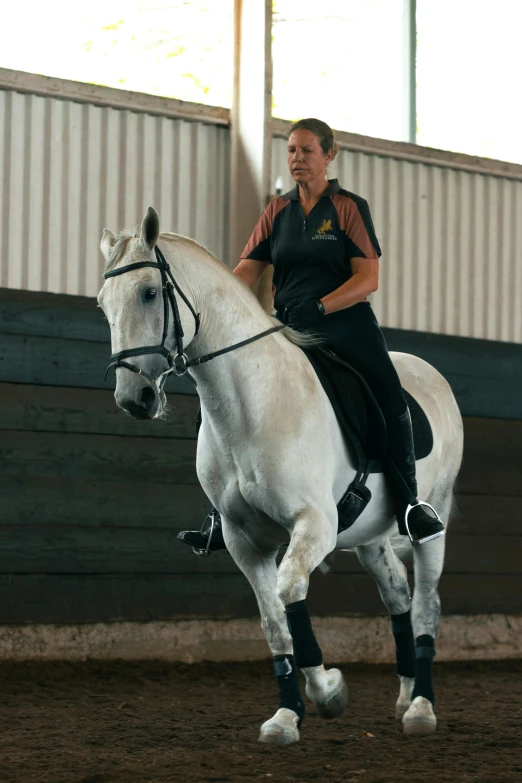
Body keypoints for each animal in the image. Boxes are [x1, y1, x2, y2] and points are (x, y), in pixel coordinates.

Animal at [98, 208, 464, 748]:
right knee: (397, 592)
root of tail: (430, 374)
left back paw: (421, 707)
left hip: (430, 521)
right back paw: (402, 695)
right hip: (371, 535)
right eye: (103, 305)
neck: (250, 404)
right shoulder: (243, 539)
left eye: (147, 293)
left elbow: (291, 592)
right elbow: (274, 621)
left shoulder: (313, 525)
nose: (134, 398)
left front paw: (329, 692)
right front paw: (287, 716)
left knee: (424, 606)